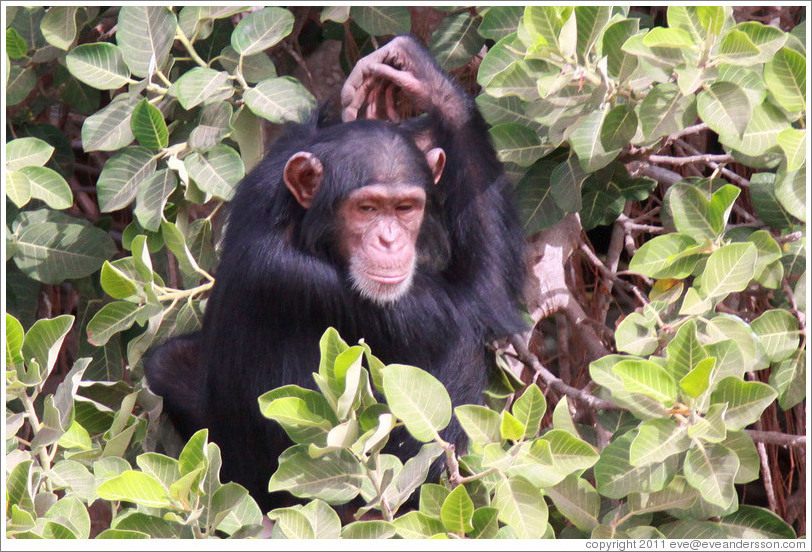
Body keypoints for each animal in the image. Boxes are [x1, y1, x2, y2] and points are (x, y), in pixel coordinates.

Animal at [146, 34, 528, 512]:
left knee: (166, 361)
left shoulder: (266, 175)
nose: (389, 239)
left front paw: (401, 82)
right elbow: (481, 298)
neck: (303, 225)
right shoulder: (315, 282)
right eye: (366, 208)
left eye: (405, 208)